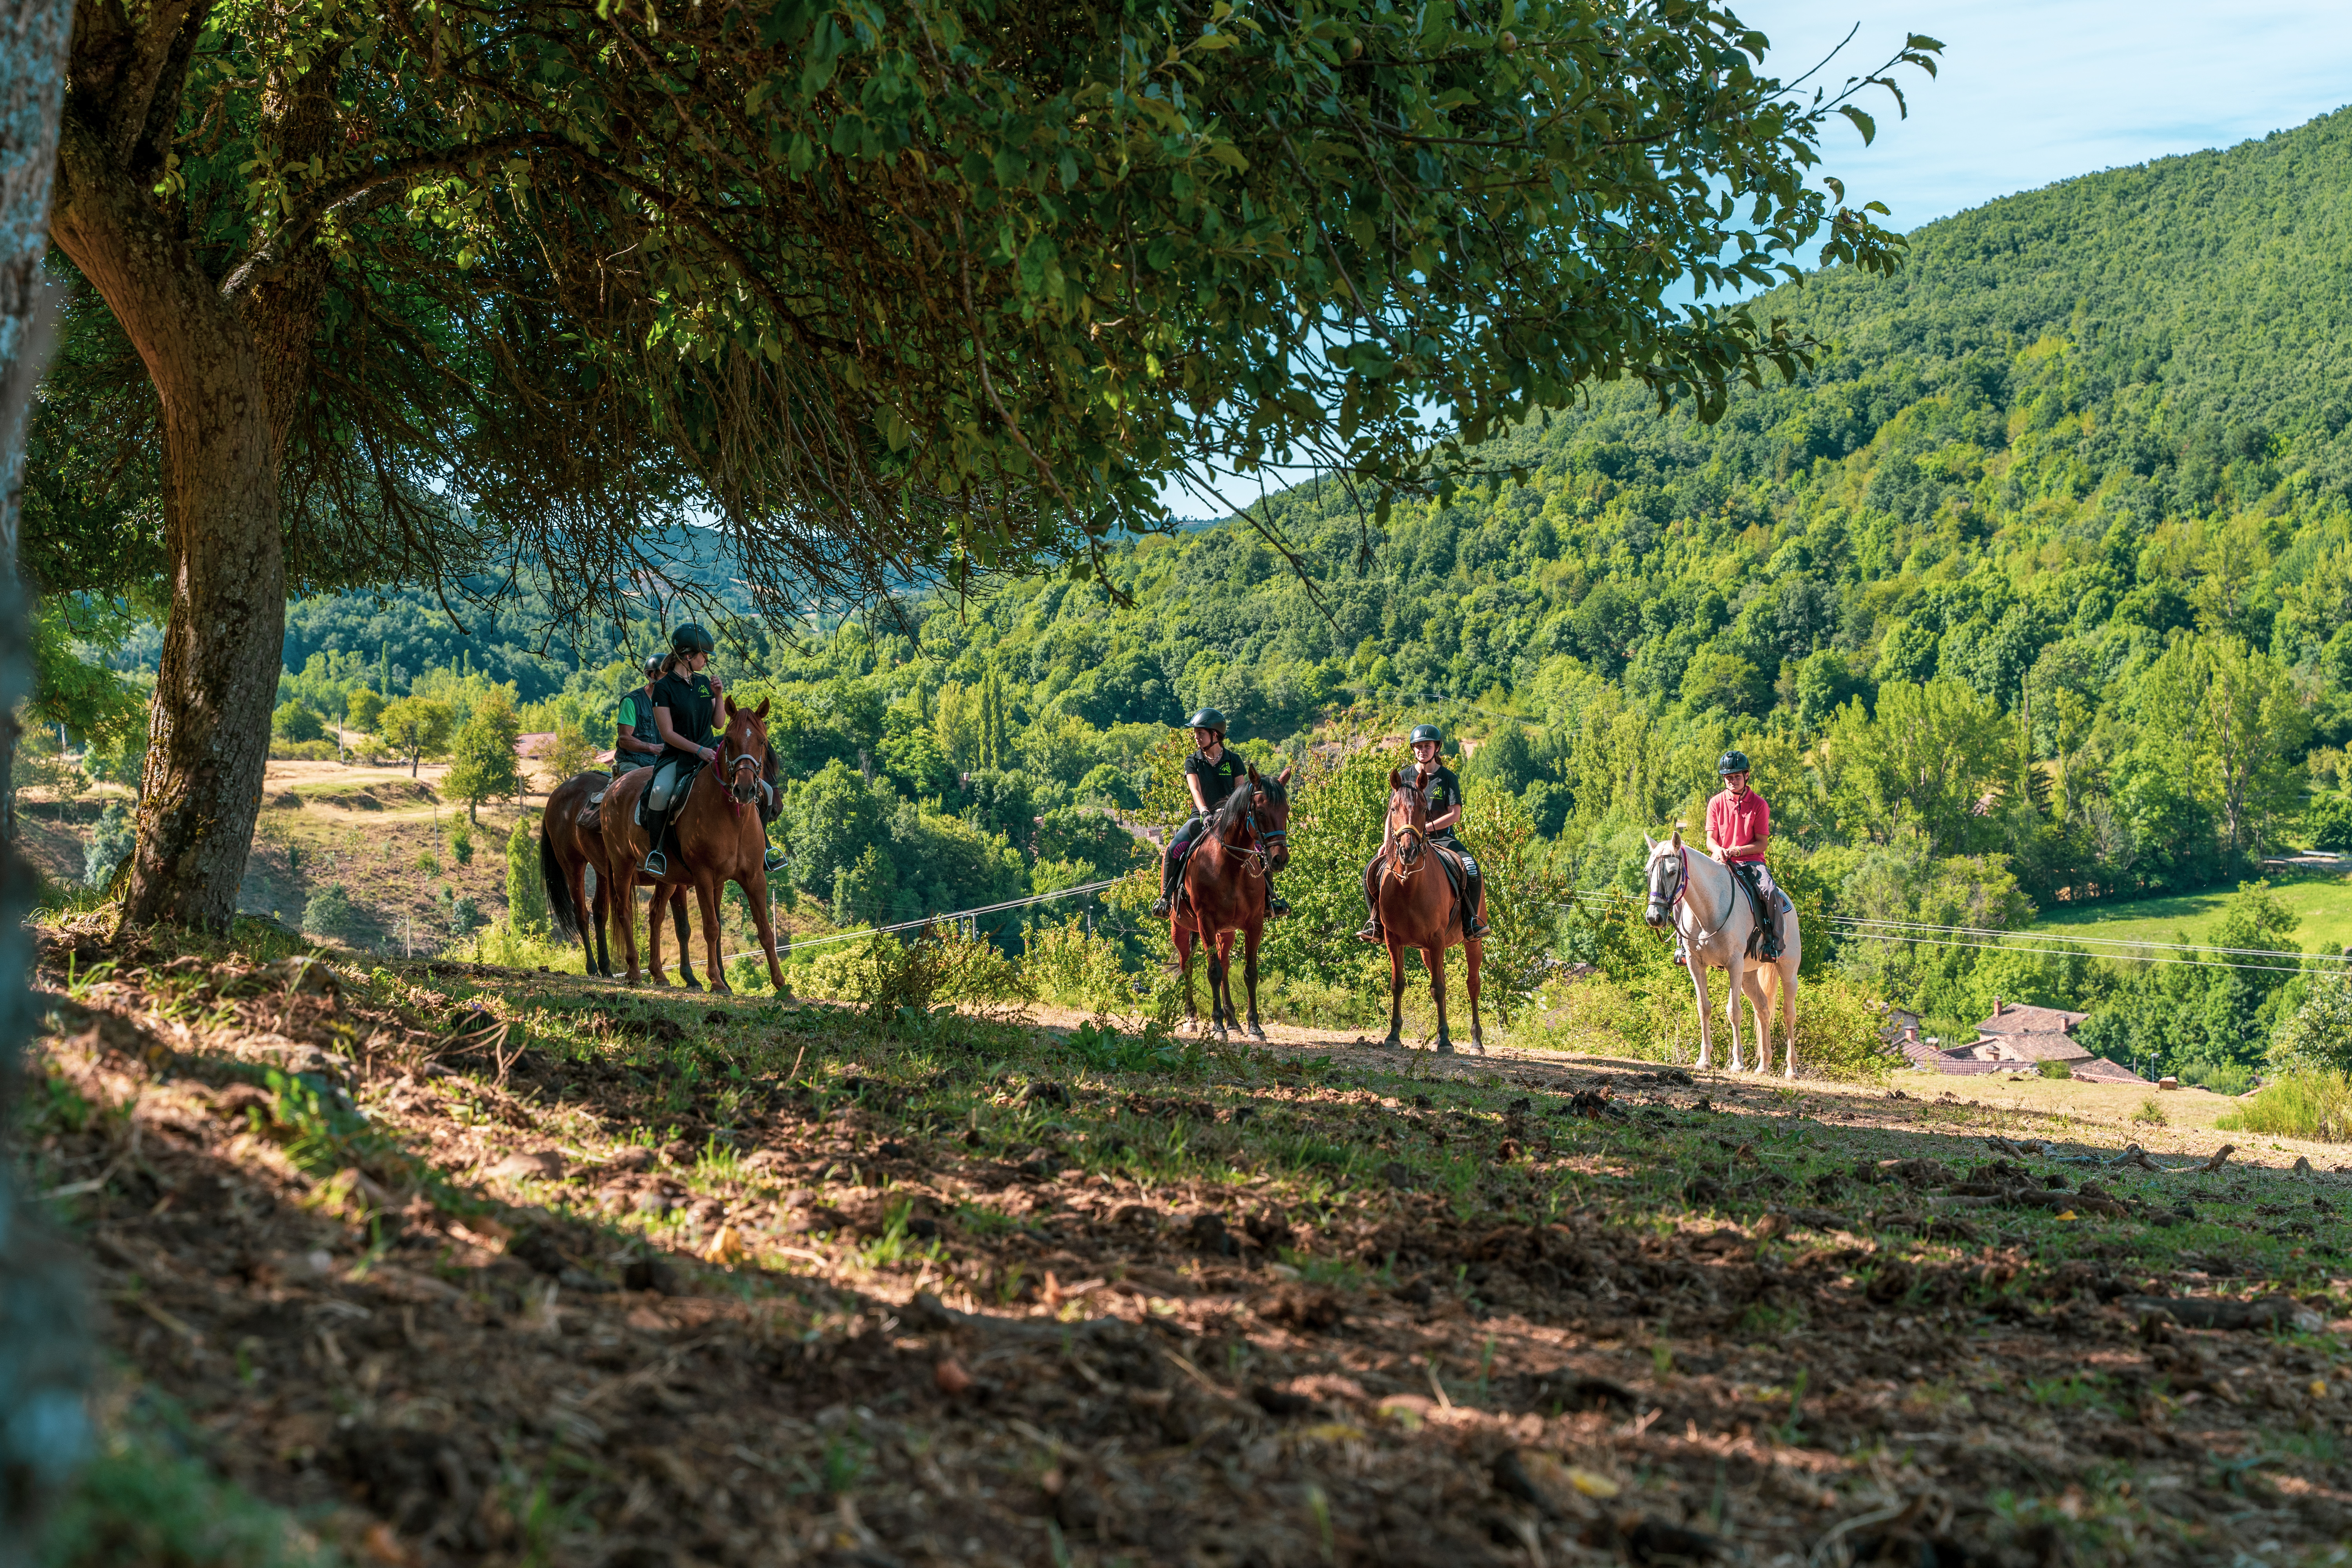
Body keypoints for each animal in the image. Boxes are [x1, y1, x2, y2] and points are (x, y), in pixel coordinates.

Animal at [541, 771, 696, 982]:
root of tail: (558, 792)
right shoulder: (676, 883)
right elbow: (682, 927)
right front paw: (689, 977)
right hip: (573, 865)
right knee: (582, 914)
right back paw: (592, 968)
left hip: (603, 872)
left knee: (600, 911)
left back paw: (606, 968)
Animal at [593, 701, 786, 992]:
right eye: (729, 741)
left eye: (762, 742)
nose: (744, 790)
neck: (734, 819)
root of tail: (615, 787)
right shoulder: (705, 877)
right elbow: (711, 927)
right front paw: (716, 981)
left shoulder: (752, 878)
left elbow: (764, 930)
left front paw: (782, 987)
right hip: (621, 865)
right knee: (623, 911)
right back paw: (635, 972)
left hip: (668, 877)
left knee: (655, 913)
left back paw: (659, 975)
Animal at [1171, 762, 1298, 1044]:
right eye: (1260, 811)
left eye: (1286, 811)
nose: (1279, 859)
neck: (1229, 864)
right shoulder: (1206, 922)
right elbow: (1213, 972)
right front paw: (1217, 1026)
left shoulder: (1254, 924)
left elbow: (1249, 973)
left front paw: (1254, 1027)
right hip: (1181, 929)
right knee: (1188, 966)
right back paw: (1192, 1018)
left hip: (1226, 932)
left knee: (1226, 964)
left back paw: (1233, 1022)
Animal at [1374, 771, 1486, 1053]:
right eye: (1394, 809)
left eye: (1424, 810)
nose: (1408, 852)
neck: (1409, 886)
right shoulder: (1394, 940)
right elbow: (1398, 985)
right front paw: (1393, 1036)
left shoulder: (1436, 940)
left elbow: (1438, 988)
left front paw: (1446, 1040)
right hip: (1426, 950)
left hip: (1472, 942)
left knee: (1473, 985)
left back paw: (1476, 1041)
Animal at [1646, 832, 1806, 1081]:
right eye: (1648, 872)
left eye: (1672, 872)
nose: (1654, 917)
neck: (1709, 909)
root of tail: (1787, 901)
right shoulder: (1696, 964)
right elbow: (1704, 1007)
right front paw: (1704, 1061)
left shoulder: (1734, 965)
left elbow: (1734, 1011)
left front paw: (1738, 1063)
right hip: (1748, 976)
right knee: (1763, 1009)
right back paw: (1763, 1065)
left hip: (1788, 970)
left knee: (1789, 1013)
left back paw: (1791, 1069)